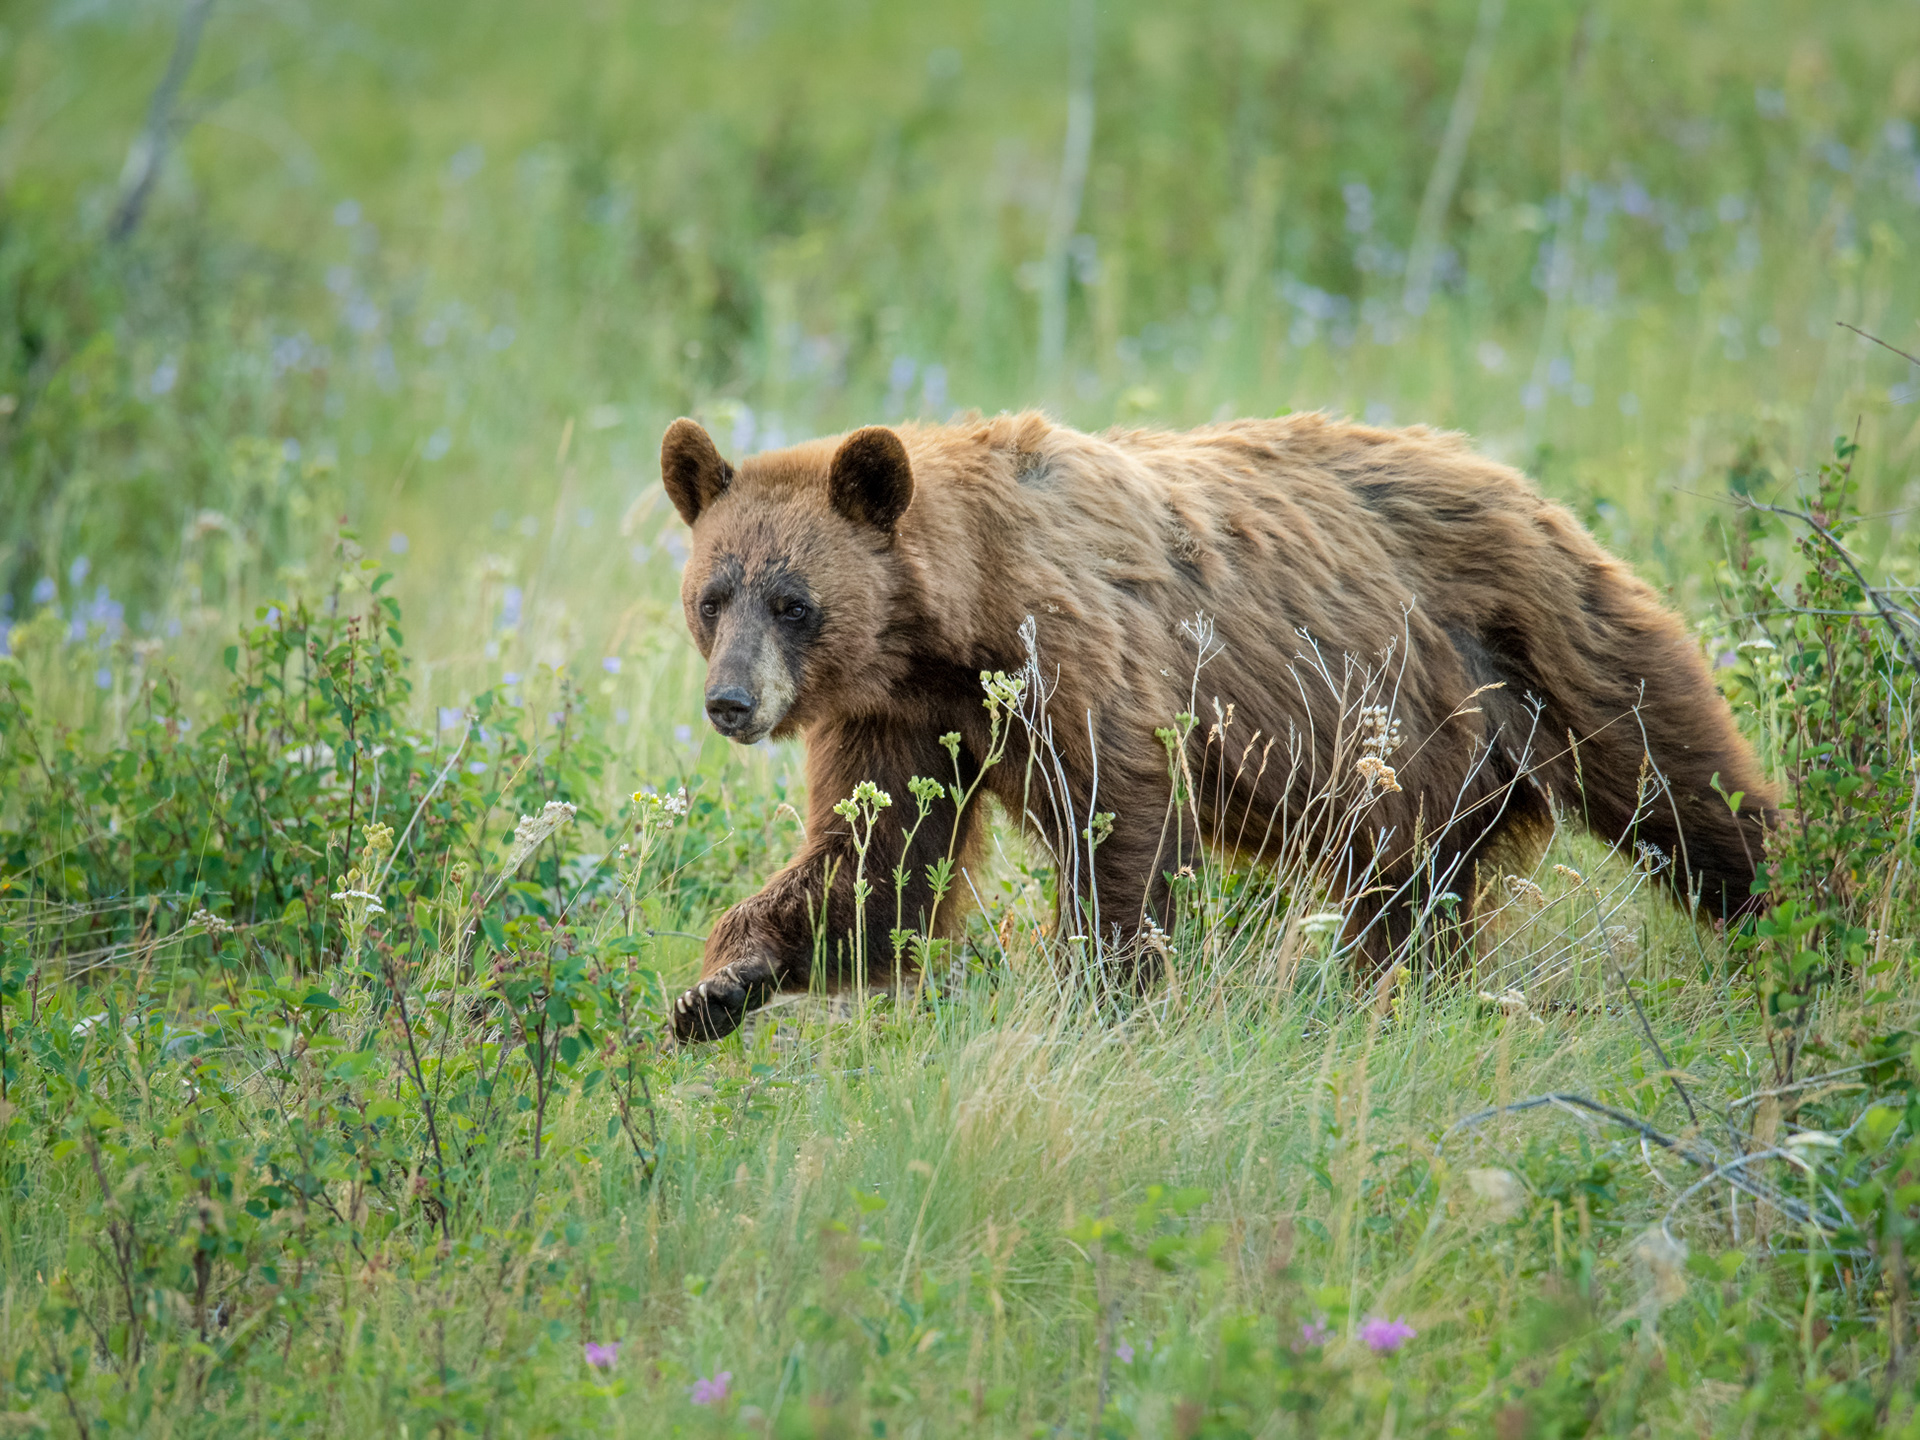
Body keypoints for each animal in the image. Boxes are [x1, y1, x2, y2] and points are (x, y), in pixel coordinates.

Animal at [659, 409, 1776, 1043]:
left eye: (792, 600)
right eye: (713, 595)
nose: (732, 703)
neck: (951, 621)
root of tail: (1527, 488)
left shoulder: (1079, 652)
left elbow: (1123, 822)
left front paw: (1102, 997)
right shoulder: (901, 717)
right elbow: (877, 866)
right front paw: (718, 990)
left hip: (1539, 649)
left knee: (1682, 786)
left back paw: (1791, 910)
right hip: (1430, 769)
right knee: (1412, 901)